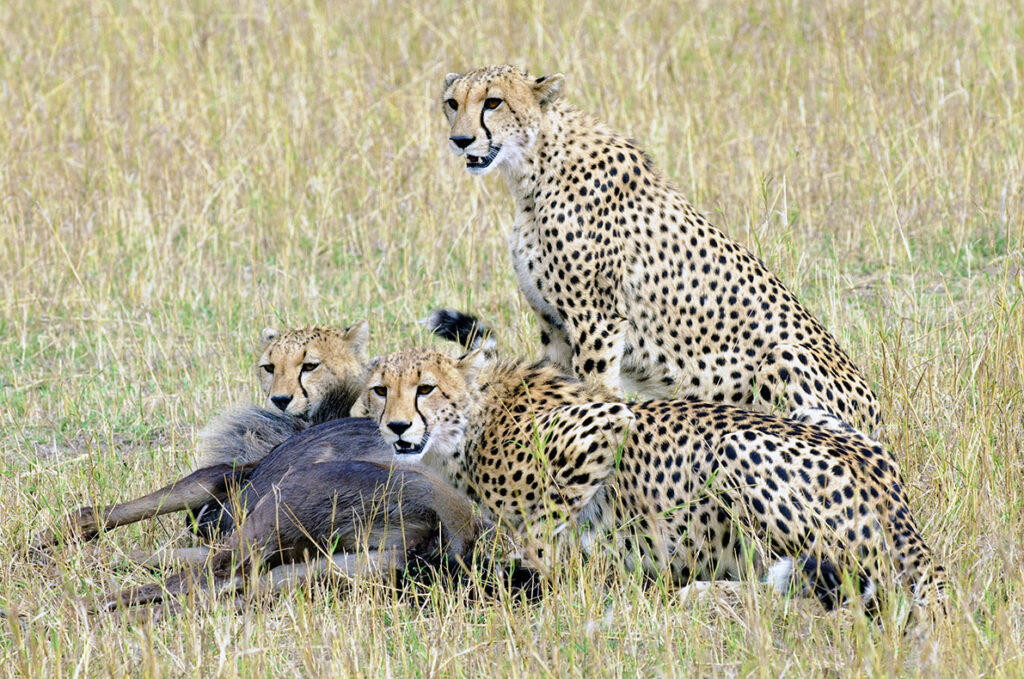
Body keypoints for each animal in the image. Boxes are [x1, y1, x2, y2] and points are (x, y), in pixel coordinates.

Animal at [358, 339, 947, 620]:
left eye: (426, 388)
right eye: (380, 390)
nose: (397, 426)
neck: (474, 420)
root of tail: (897, 504)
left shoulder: (606, 423)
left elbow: (543, 538)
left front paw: (553, 574)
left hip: (734, 447)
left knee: (840, 588)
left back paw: (701, 592)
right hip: (815, 414)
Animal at [441, 65, 882, 435]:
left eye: (493, 102)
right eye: (452, 103)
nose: (460, 140)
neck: (533, 170)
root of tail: (878, 411)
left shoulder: (596, 321)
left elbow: (594, 388)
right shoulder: (554, 324)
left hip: (784, 356)